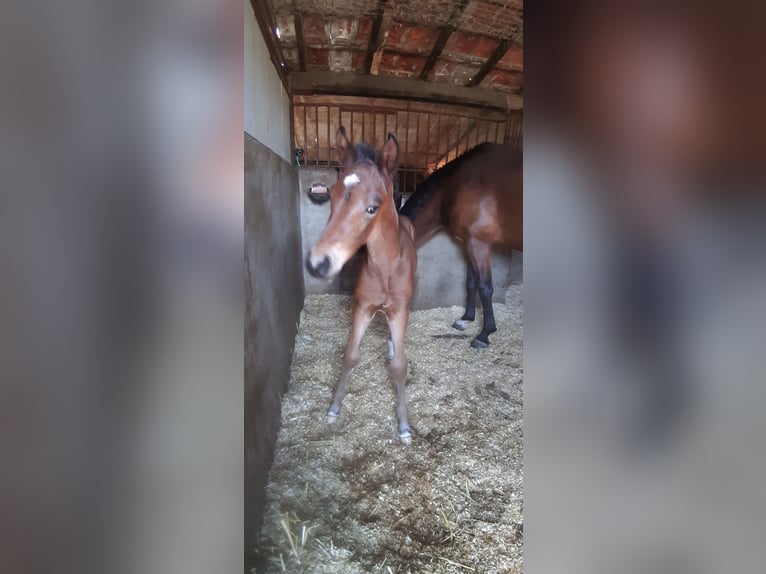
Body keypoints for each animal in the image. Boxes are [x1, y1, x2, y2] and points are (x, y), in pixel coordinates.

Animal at [304, 128, 416, 448]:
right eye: (331, 195)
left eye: (372, 207)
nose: (318, 263)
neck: (386, 267)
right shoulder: (363, 307)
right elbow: (350, 355)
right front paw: (333, 408)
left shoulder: (399, 310)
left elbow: (400, 366)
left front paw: (404, 426)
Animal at [400, 144, 524, 352]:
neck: (455, 187)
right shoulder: (468, 242)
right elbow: (471, 283)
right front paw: (466, 319)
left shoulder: (480, 243)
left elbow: (485, 288)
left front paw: (484, 334)